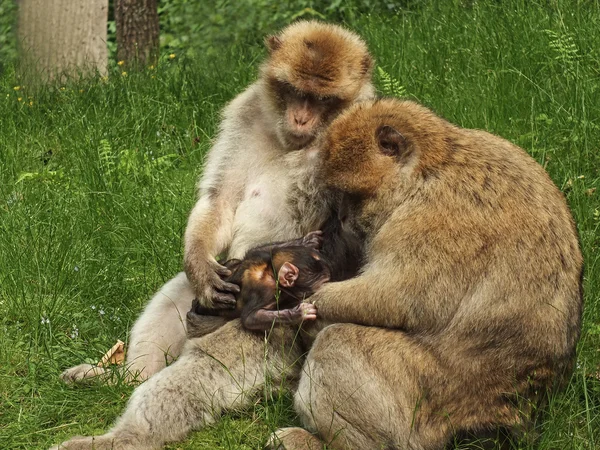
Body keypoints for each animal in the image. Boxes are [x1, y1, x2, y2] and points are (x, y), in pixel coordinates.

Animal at [186, 232, 330, 338]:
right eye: (325, 282)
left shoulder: (260, 256)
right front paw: (300, 313)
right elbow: (250, 318)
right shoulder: (264, 290)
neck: (271, 272)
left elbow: (258, 250)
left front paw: (307, 240)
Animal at [264, 99, 584, 450]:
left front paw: (310, 302)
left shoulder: (431, 221)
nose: (343, 217)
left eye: (351, 195)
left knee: (339, 342)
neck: (432, 167)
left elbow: (398, 298)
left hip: (426, 407)